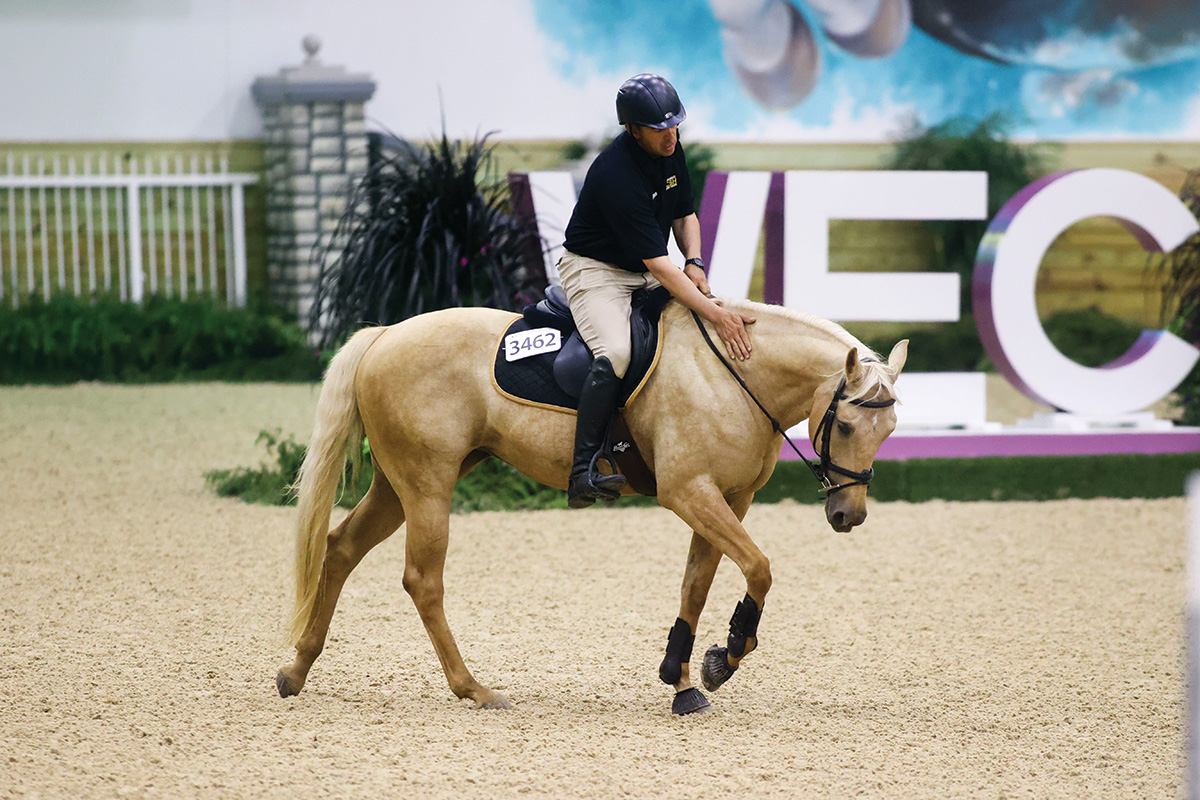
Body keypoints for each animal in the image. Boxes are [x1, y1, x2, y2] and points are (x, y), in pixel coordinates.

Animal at [276, 296, 902, 714]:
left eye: (891, 429)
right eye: (847, 426)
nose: (849, 515)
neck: (730, 374)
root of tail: (385, 336)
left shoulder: (729, 498)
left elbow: (697, 584)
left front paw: (683, 679)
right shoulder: (689, 492)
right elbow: (759, 568)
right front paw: (725, 656)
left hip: (398, 484)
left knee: (340, 549)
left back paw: (296, 670)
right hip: (427, 486)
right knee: (422, 581)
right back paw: (473, 688)